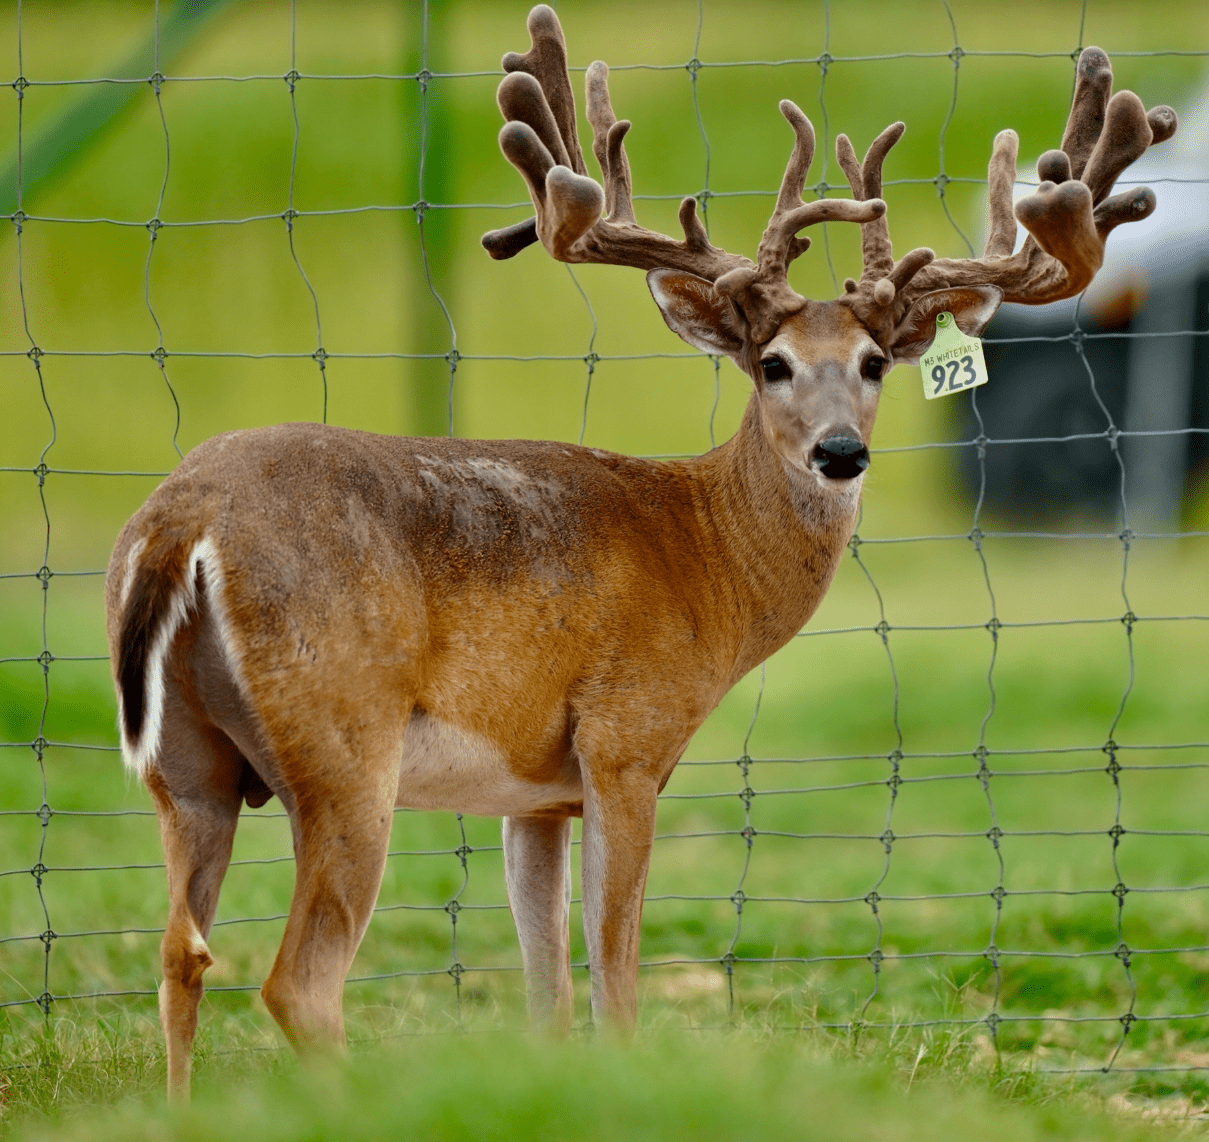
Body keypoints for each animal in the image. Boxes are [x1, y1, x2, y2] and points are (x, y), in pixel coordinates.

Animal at [104, 4, 1175, 1101]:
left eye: (876, 362)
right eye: (773, 363)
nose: (841, 451)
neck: (703, 550)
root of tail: (180, 521)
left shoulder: (534, 790)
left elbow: (546, 989)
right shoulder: (626, 739)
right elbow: (614, 977)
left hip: (187, 765)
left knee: (180, 954)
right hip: (344, 739)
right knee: (297, 980)